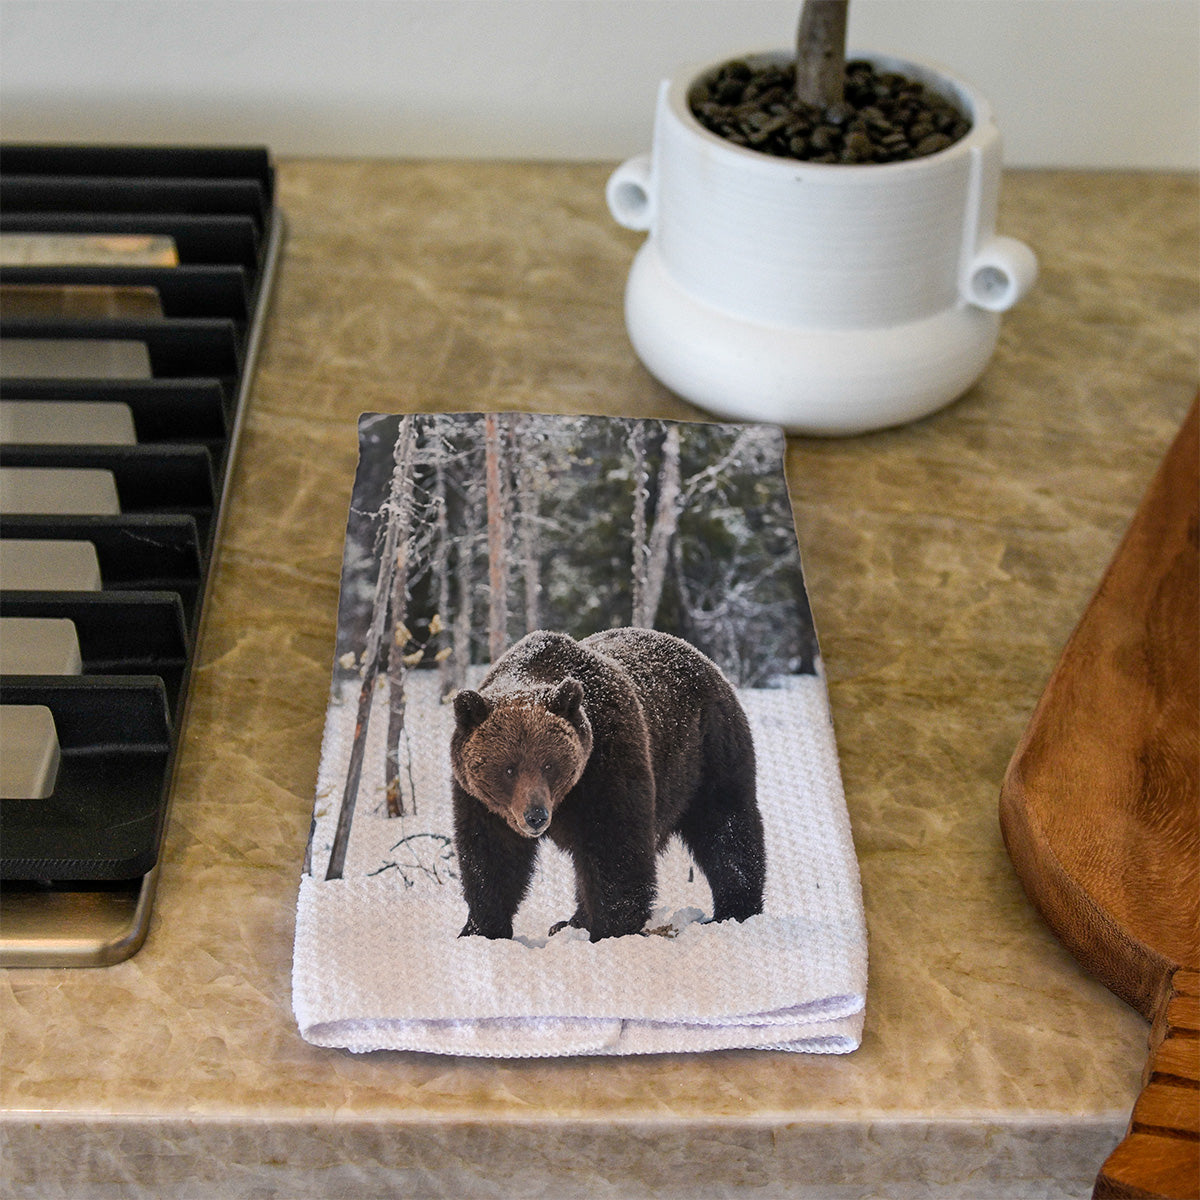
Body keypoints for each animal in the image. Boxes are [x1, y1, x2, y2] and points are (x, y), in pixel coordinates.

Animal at [446, 624, 763, 940]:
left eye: (549, 764)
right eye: (508, 769)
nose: (535, 816)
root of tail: (704, 660)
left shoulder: (607, 763)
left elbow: (614, 845)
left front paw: (612, 929)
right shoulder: (481, 801)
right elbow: (491, 856)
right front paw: (480, 928)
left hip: (708, 752)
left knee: (726, 826)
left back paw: (735, 910)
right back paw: (571, 921)